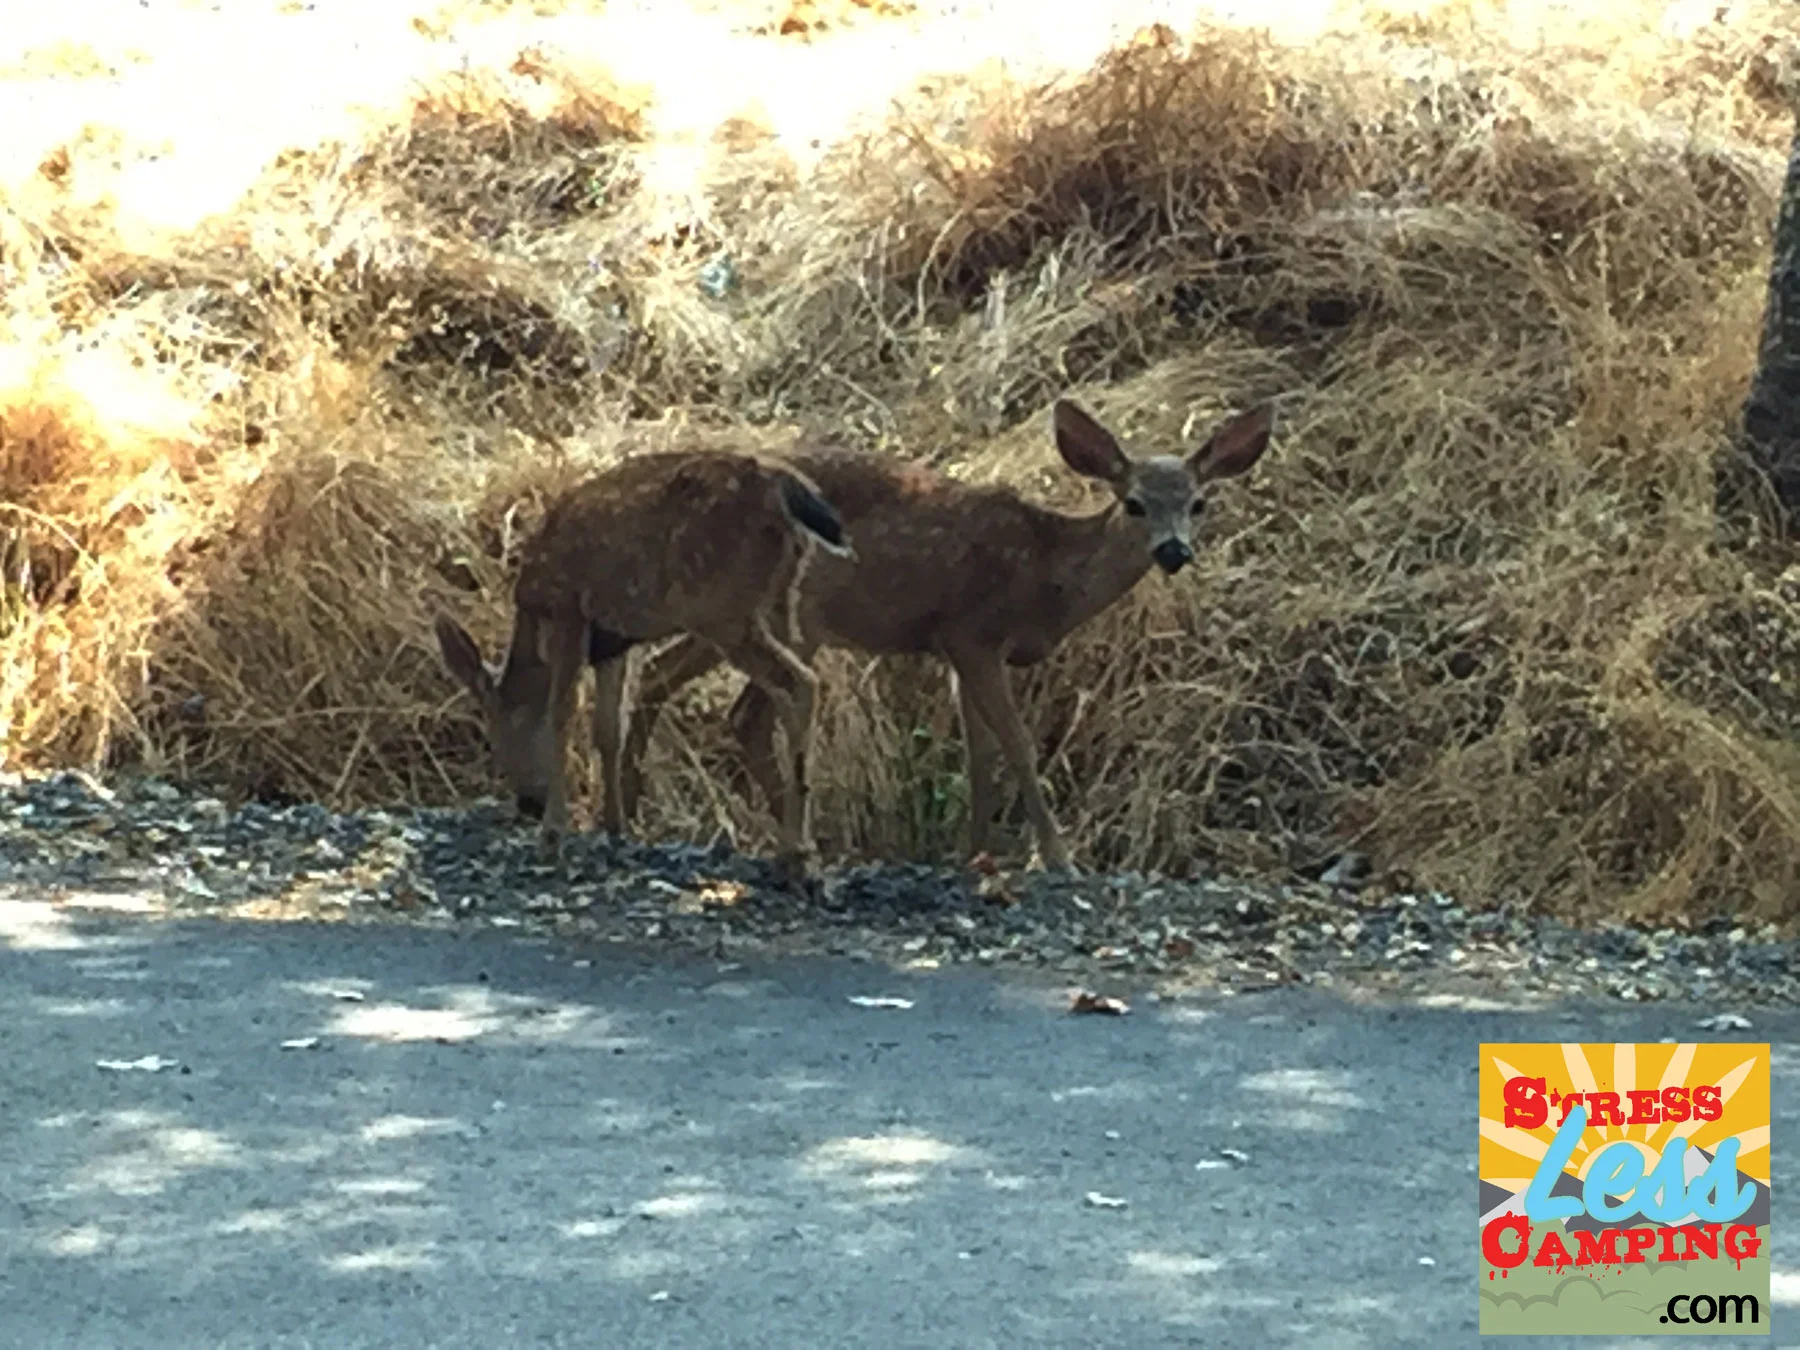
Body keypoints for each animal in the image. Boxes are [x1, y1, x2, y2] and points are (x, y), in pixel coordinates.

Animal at [432, 448, 852, 872]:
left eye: (495, 733)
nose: (528, 805)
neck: (534, 618)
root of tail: (787, 493)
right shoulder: (614, 642)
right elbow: (608, 729)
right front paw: (615, 828)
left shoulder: (569, 611)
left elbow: (562, 715)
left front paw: (553, 836)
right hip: (785, 599)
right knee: (795, 683)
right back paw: (798, 847)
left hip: (722, 609)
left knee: (800, 682)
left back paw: (797, 854)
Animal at [611, 397, 1276, 873]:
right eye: (1135, 503)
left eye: (1199, 504)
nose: (1174, 552)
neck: (1047, 576)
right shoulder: (972, 633)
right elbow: (1017, 746)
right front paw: (1058, 860)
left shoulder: (959, 650)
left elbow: (979, 754)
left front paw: (973, 853)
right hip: (794, 617)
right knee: (742, 711)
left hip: (732, 616)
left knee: (665, 678)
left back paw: (644, 811)